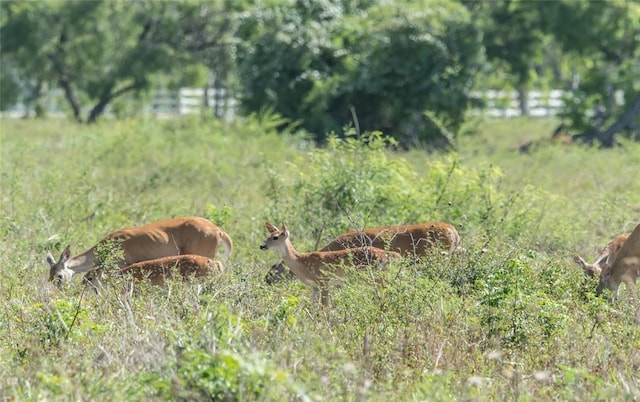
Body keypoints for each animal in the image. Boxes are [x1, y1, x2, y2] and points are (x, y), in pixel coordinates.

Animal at [258, 223, 398, 304]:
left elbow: (324, 307)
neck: (302, 263)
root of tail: (390, 255)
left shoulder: (324, 281)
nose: (262, 246)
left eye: (275, 237)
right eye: (267, 236)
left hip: (375, 276)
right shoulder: (314, 287)